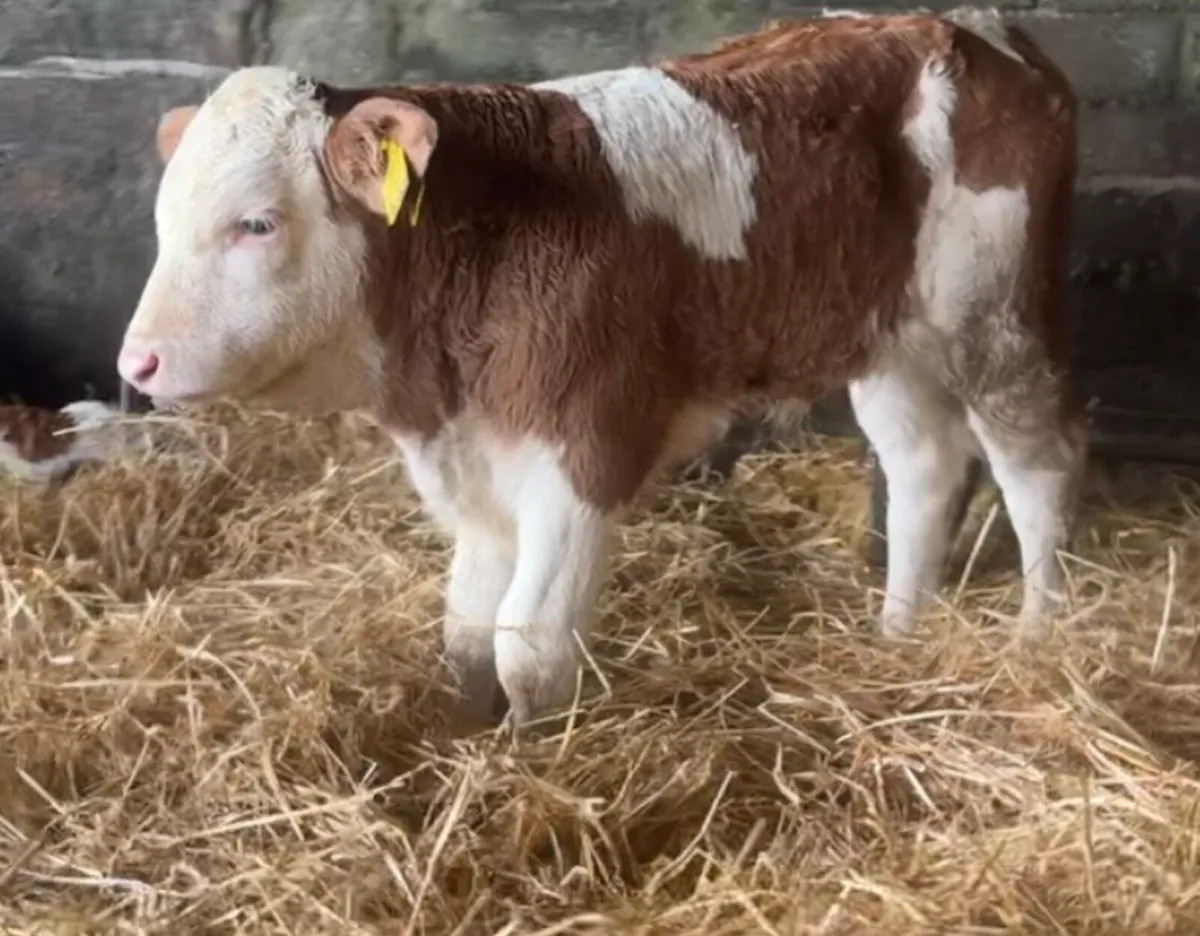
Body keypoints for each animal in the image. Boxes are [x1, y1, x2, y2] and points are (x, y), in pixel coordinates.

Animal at [115, 10, 1086, 731]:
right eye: (162, 219)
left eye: (257, 223)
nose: (138, 360)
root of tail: (977, 30)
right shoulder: (477, 453)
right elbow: (467, 633)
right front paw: (466, 737)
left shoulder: (586, 445)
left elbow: (529, 646)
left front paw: (528, 761)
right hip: (890, 337)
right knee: (924, 466)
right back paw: (897, 633)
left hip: (994, 315)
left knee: (1037, 465)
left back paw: (1039, 637)